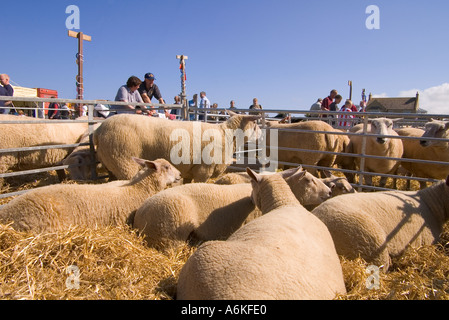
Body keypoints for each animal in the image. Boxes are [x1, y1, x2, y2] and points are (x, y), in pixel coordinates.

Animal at [93, 112, 262, 182]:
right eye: (255, 123)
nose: (261, 135)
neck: (227, 135)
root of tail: (98, 130)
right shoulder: (203, 170)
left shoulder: (190, 170)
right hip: (124, 162)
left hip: (112, 163)